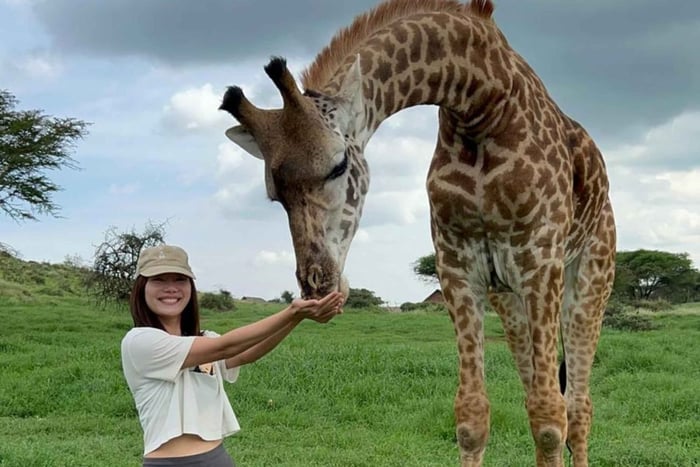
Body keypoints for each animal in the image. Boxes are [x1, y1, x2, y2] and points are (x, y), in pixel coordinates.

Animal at [219, 1, 616, 465]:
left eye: (338, 165)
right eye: (273, 194)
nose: (318, 284)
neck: (481, 102)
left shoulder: (539, 259)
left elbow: (552, 419)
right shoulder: (456, 264)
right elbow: (472, 415)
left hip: (588, 278)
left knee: (577, 406)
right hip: (509, 297)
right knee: (536, 392)